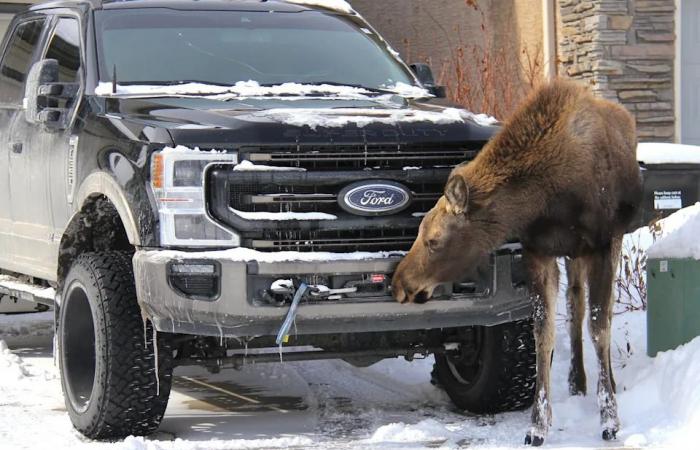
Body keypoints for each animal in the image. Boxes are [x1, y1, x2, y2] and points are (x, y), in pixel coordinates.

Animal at [391, 79, 642, 446]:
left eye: (433, 240)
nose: (400, 283)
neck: (547, 198)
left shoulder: (600, 243)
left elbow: (600, 328)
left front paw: (609, 419)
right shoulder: (538, 250)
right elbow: (544, 334)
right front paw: (538, 426)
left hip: (610, 241)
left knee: (597, 313)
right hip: (573, 255)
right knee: (575, 304)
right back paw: (576, 381)